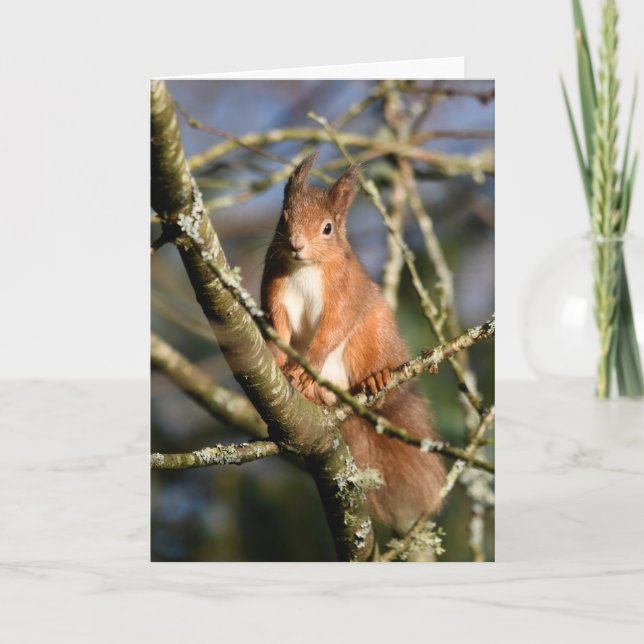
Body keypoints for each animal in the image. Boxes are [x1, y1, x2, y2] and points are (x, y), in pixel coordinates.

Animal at [261, 153, 446, 537]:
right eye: (284, 217)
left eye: (328, 228)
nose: (296, 245)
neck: (305, 268)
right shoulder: (275, 287)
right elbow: (279, 328)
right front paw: (279, 359)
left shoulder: (343, 291)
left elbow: (333, 328)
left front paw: (306, 366)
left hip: (373, 339)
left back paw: (375, 380)